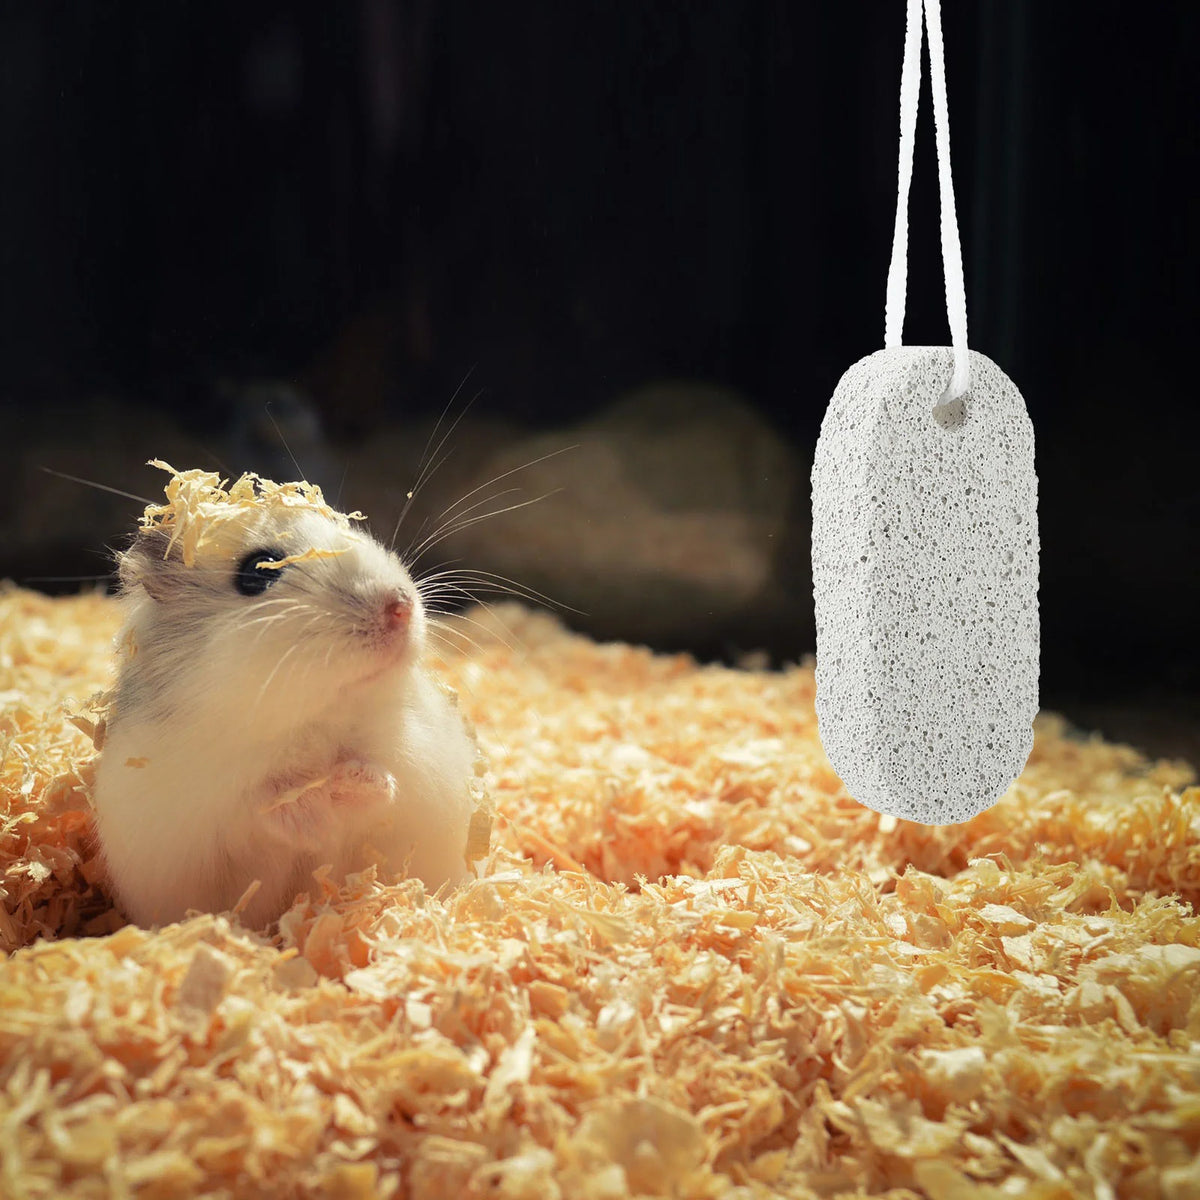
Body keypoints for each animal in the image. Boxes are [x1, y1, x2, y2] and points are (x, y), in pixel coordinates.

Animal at [91, 463, 484, 929]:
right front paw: (313, 809)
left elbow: (384, 779)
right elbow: (263, 805)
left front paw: (355, 784)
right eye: (258, 571)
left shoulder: (414, 755)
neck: (311, 719)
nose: (401, 607)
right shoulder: (203, 799)